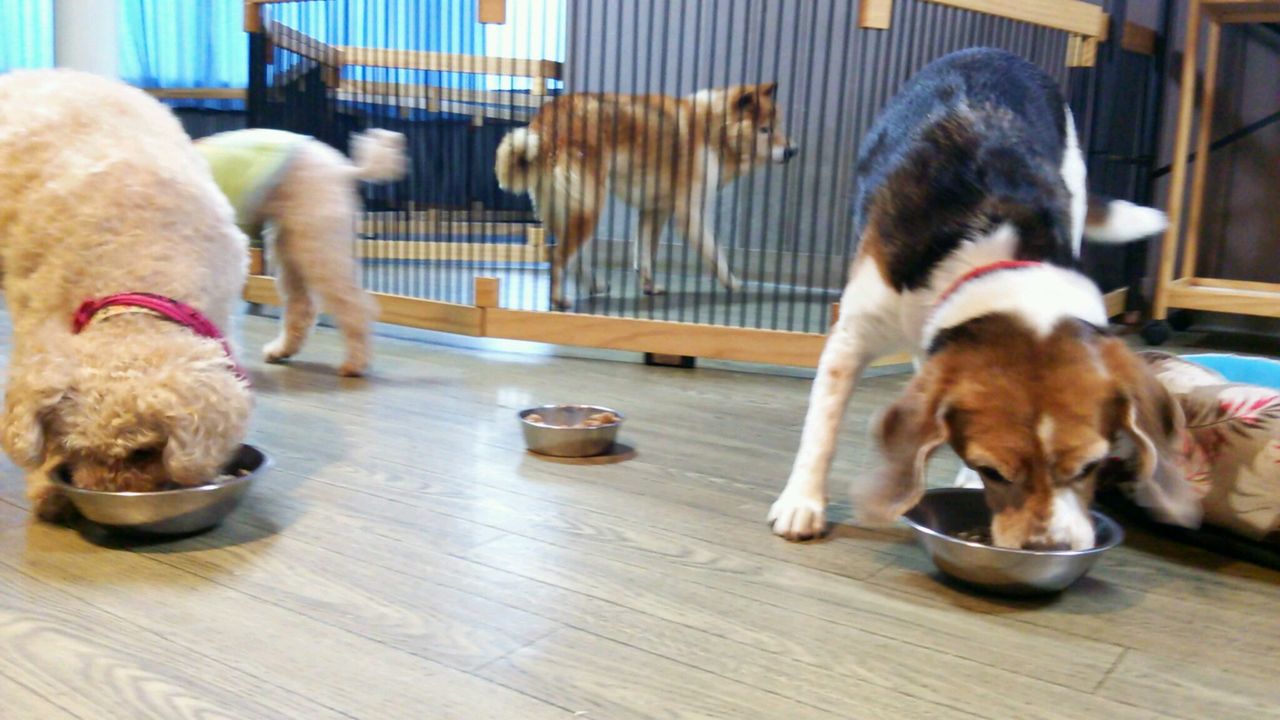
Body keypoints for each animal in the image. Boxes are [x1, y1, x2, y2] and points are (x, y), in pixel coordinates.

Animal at [0, 69, 253, 519]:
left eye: (143, 452)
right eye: (69, 445)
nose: (104, 493)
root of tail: (32, 72)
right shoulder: (38, 321)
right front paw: (48, 488)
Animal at [195, 127, 407, 376]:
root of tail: (343, 170)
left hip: (318, 247)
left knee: (355, 305)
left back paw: (355, 363)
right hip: (292, 248)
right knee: (302, 306)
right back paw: (281, 350)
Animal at [494, 84, 798, 309]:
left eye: (779, 126)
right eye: (765, 130)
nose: (792, 151)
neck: (712, 131)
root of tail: (542, 125)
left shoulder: (654, 211)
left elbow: (645, 255)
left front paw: (650, 286)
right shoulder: (690, 214)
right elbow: (716, 254)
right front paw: (733, 283)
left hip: (578, 213)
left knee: (578, 260)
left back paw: (595, 286)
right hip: (588, 210)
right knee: (558, 259)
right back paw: (559, 300)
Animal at [767, 48, 1202, 550]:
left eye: (1092, 467)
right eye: (993, 471)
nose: (1047, 549)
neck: (991, 253)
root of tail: (992, 52)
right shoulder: (853, 334)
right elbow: (822, 428)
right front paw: (802, 502)